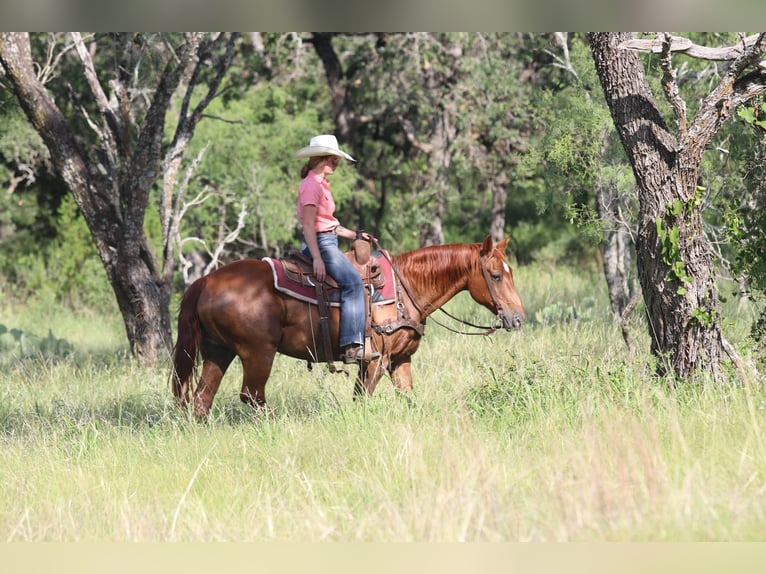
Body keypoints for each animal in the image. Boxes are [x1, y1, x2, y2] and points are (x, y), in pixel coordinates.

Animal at [171, 235, 525, 417]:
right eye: (496, 275)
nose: (518, 317)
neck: (404, 288)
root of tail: (204, 281)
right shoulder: (376, 361)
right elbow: (362, 400)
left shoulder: (400, 361)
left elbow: (409, 399)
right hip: (258, 353)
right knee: (252, 397)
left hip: (218, 352)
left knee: (201, 400)